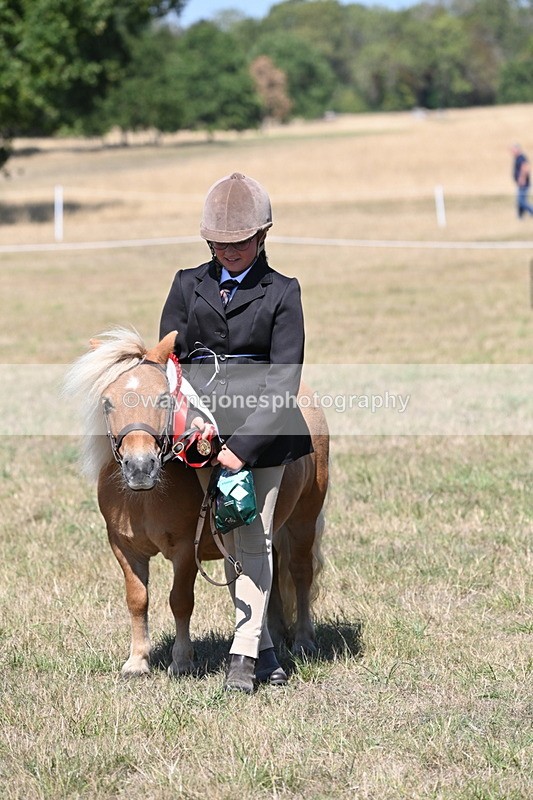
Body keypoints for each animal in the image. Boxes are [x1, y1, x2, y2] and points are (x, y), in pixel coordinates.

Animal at [64, 328, 329, 678]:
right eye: (107, 403)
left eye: (164, 399)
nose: (140, 468)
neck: (145, 499)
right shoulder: (123, 548)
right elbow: (137, 599)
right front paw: (137, 661)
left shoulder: (184, 550)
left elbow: (180, 600)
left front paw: (181, 660)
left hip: (304, 521)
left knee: (300, 573)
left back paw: (302, 641)